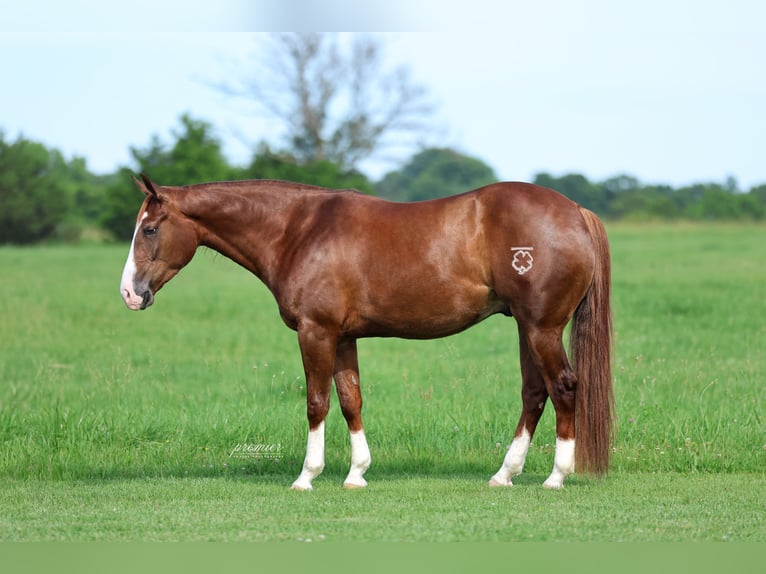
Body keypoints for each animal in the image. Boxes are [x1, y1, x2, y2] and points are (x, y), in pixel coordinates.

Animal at [120, 174, 614, 490]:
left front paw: (307, 477)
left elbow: (317, 402)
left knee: (563, 386)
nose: (129, 293)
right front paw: (356, 473)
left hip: (542, 328)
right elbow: (349, 399)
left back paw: (555, 477)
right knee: (535, 392)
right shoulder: (342, 337)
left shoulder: (315, 333)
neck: (298, 230)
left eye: (150, 229)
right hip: (527, 328)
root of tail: (576, 211)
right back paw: (504, 475)